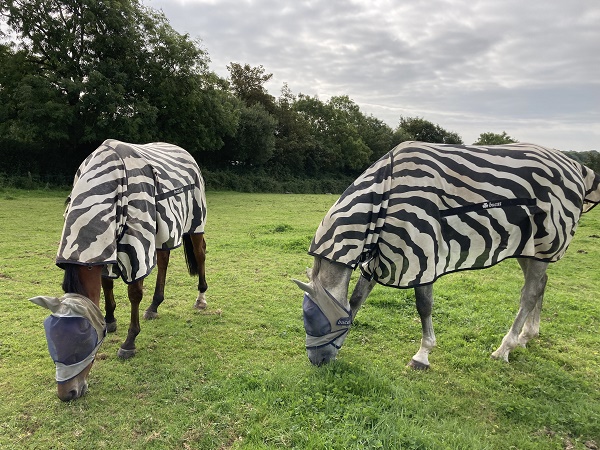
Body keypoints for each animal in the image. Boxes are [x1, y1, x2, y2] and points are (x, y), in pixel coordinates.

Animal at [30, 141, 209, 400]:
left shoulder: (136, 244)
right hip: (162, 233)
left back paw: (201, 298)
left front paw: (129, 342)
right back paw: (154, 306)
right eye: (51, 338)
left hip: (195, 223)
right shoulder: (106, 247)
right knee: (163, 260)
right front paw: (110, 319)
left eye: (82, 341)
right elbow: (106, 285)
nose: (67, 394)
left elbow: (134, 293)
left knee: (200, 253)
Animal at [296, 142, 600, 368]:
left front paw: (422, 354)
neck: (383, 198)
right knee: (539, 287)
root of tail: (576, 166)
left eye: (320, 323)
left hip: (541, 246)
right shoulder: (379, 256)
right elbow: (357, 299)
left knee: (529, 294)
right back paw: (527, 336)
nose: (317, 362)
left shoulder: (421, 255)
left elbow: (423, 305)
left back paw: (505, 348)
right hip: (528, 249)